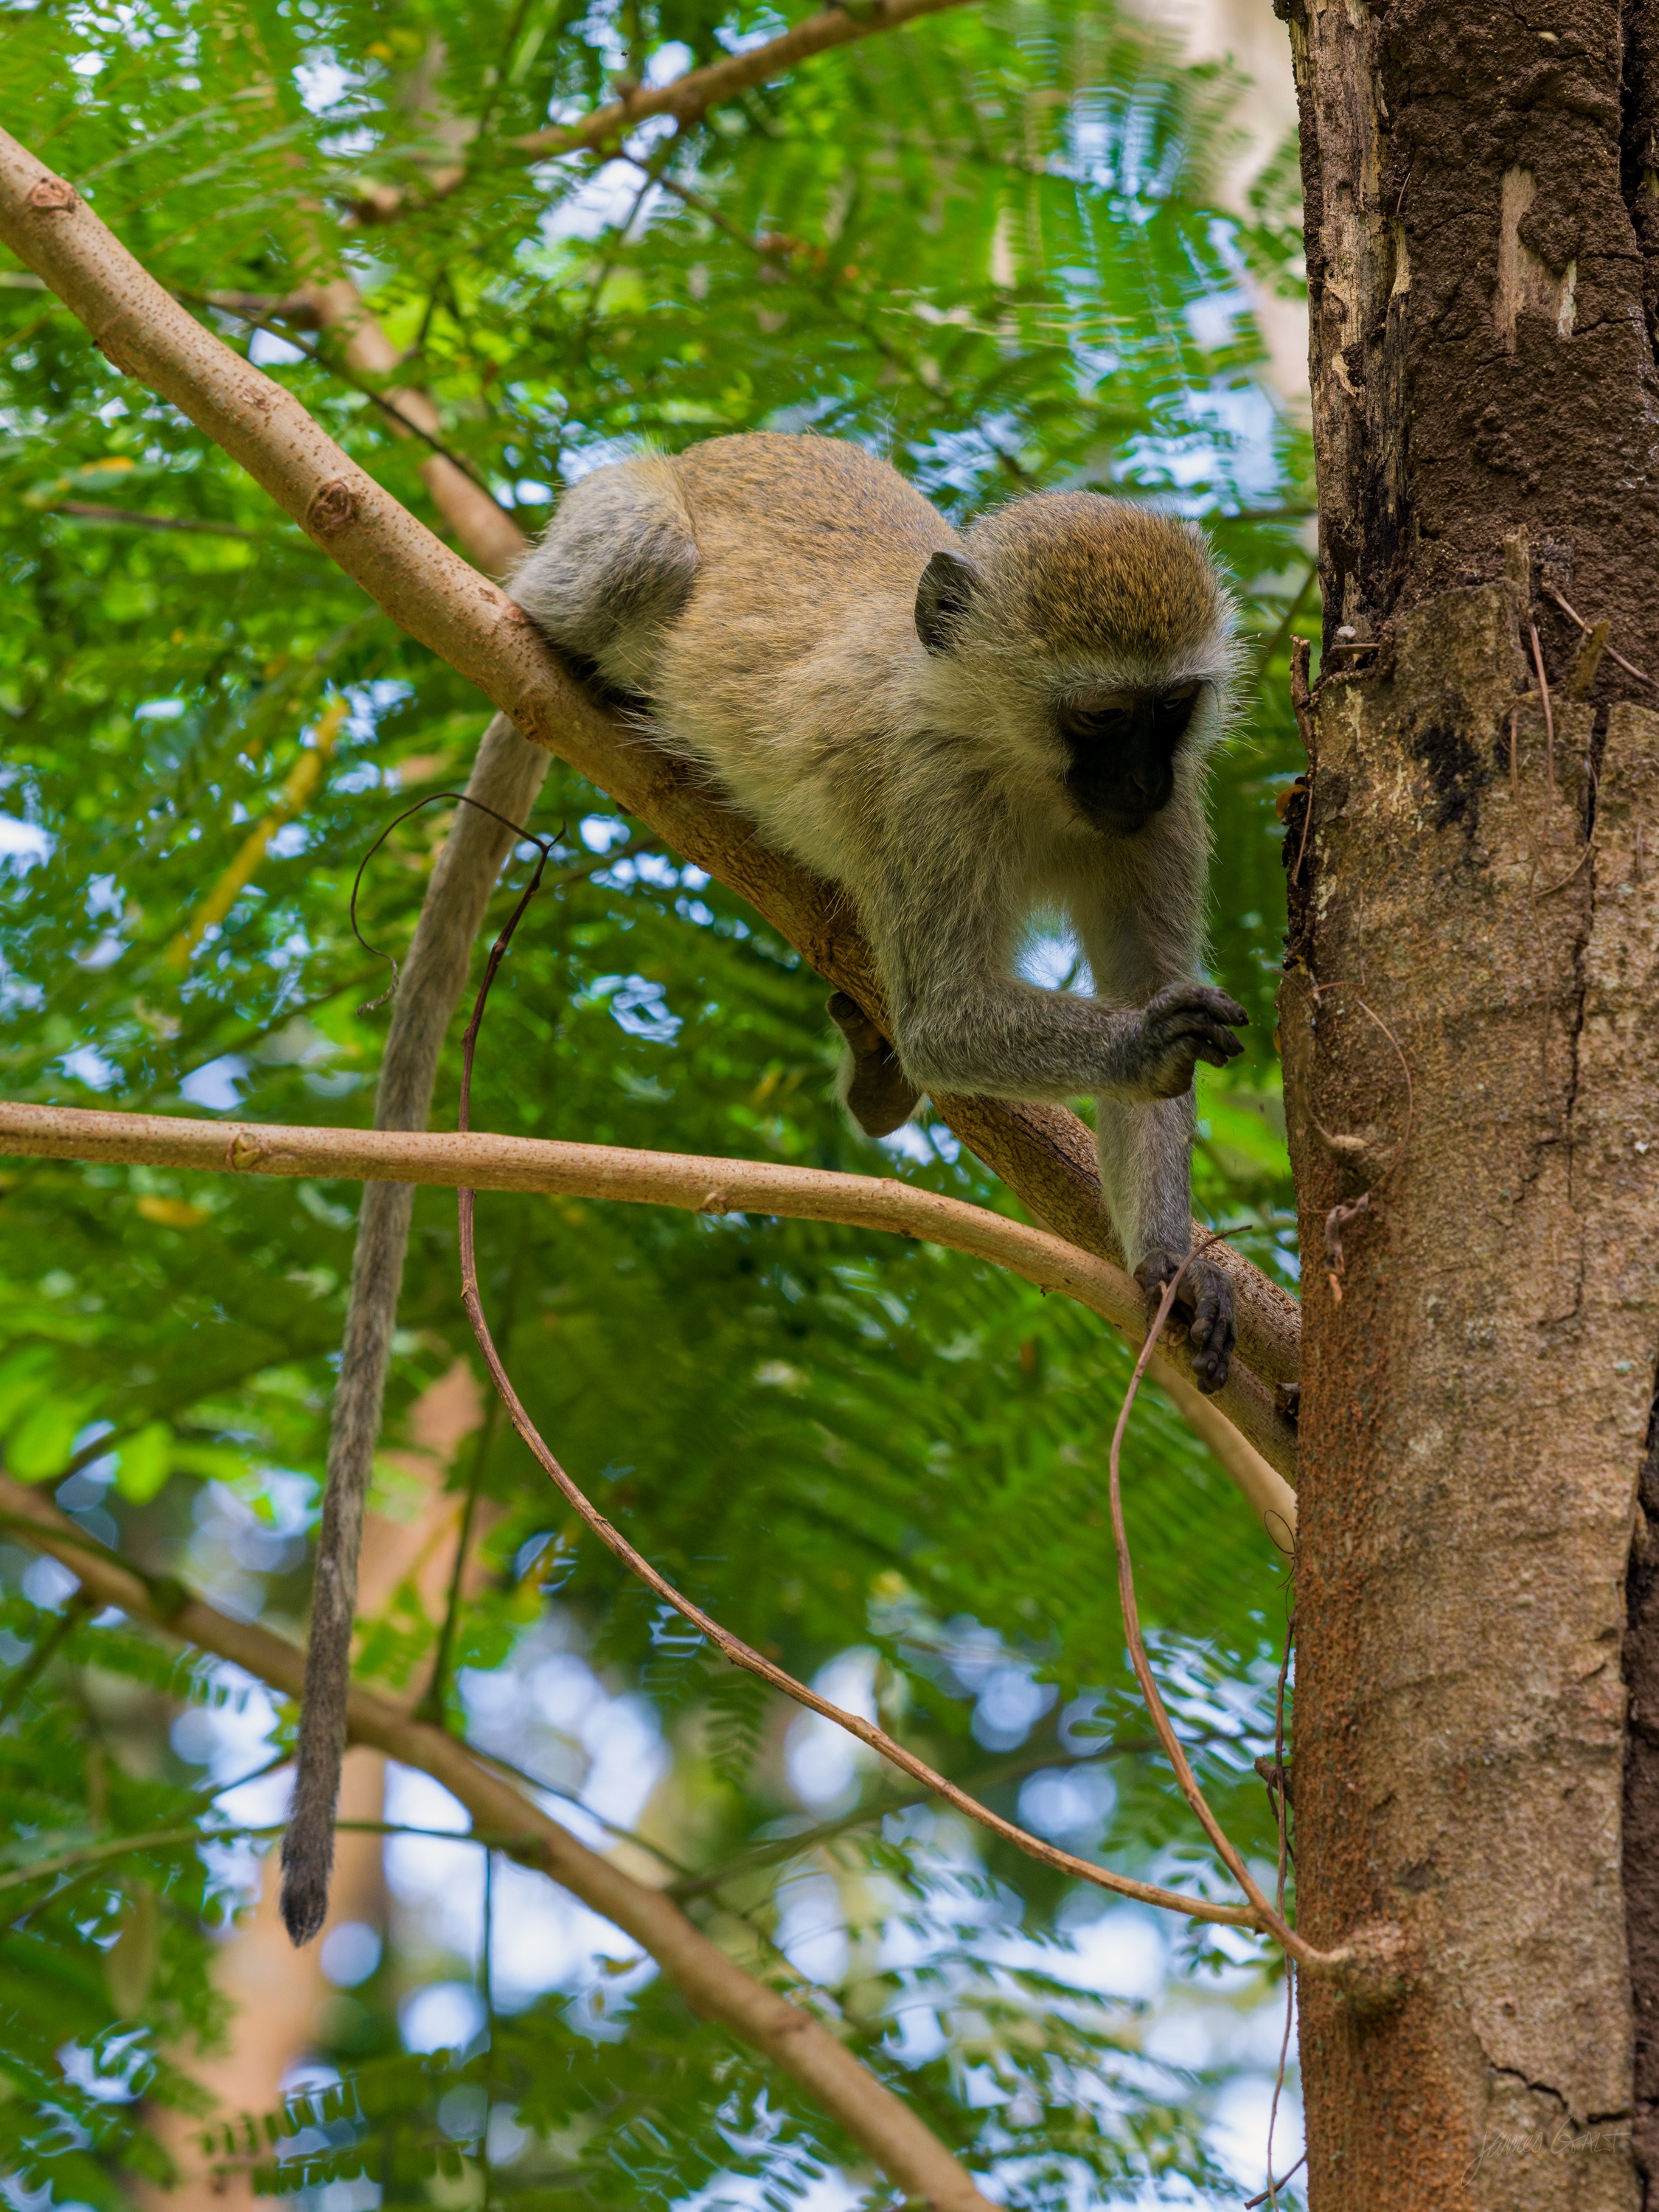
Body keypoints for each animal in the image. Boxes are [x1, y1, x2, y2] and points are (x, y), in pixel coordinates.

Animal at [510, 430, 1247, 1381]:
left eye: (1172, 708)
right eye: (1102, 715)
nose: (1142, 782)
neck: (1014, 760)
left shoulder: (1170, 817)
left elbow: (1142, 981)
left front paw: (1168, 1270)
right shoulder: (927, 789)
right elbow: (945, 1022)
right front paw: (1147, 1041)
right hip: (610, 527)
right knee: (645, 550)